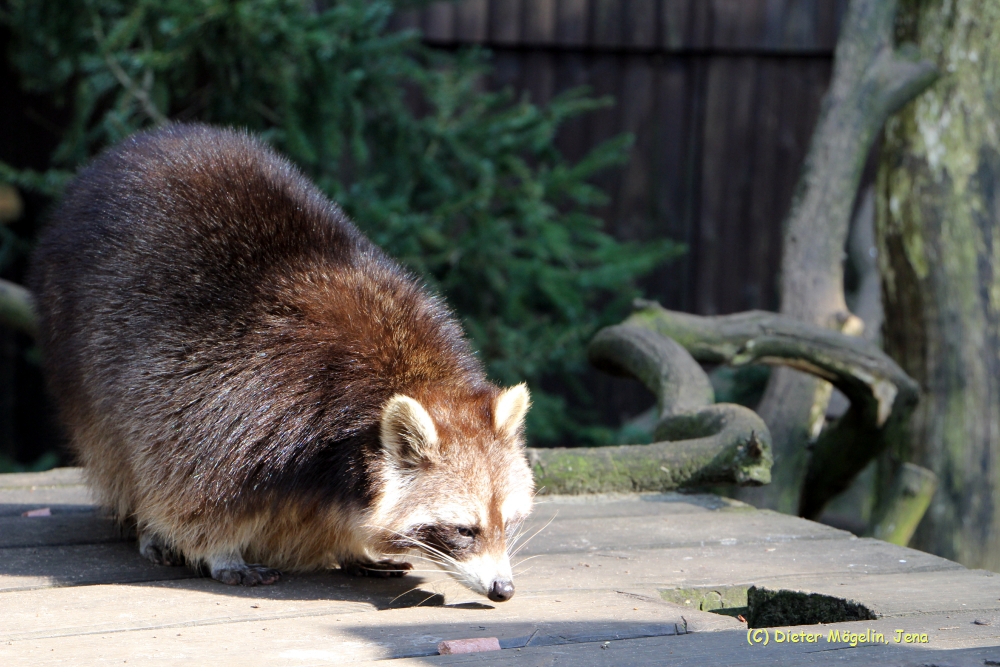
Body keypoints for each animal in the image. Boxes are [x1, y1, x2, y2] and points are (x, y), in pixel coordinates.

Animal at [29, 122, 532, 604]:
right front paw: (217, 549)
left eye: (507, 521)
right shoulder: (238, 394)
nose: (503, 590)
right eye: (464, 530)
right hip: (74, 340)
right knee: (114, 442)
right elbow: (188, 477)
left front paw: (351, 542)